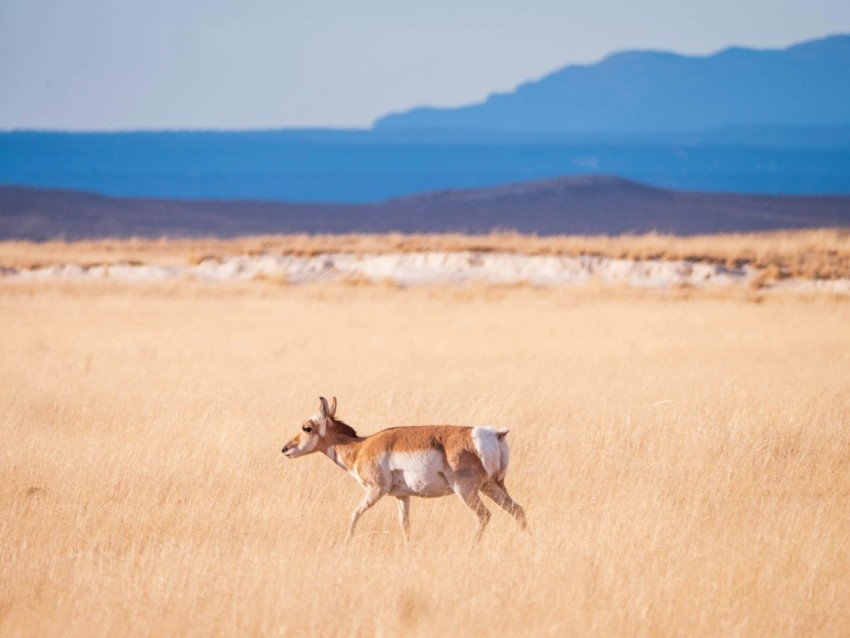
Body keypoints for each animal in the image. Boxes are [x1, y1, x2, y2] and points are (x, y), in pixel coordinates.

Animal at [281, 397, 528, 545]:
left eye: (307, 428)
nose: (285, 449)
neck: (361, 447)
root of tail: (492, 433)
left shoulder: (376, 491)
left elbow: (354, 514)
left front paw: (345, 545)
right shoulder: (402, 496)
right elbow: (405, 525)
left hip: (467, 491)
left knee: (484, 515)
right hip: (491, 487)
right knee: (518, 510)